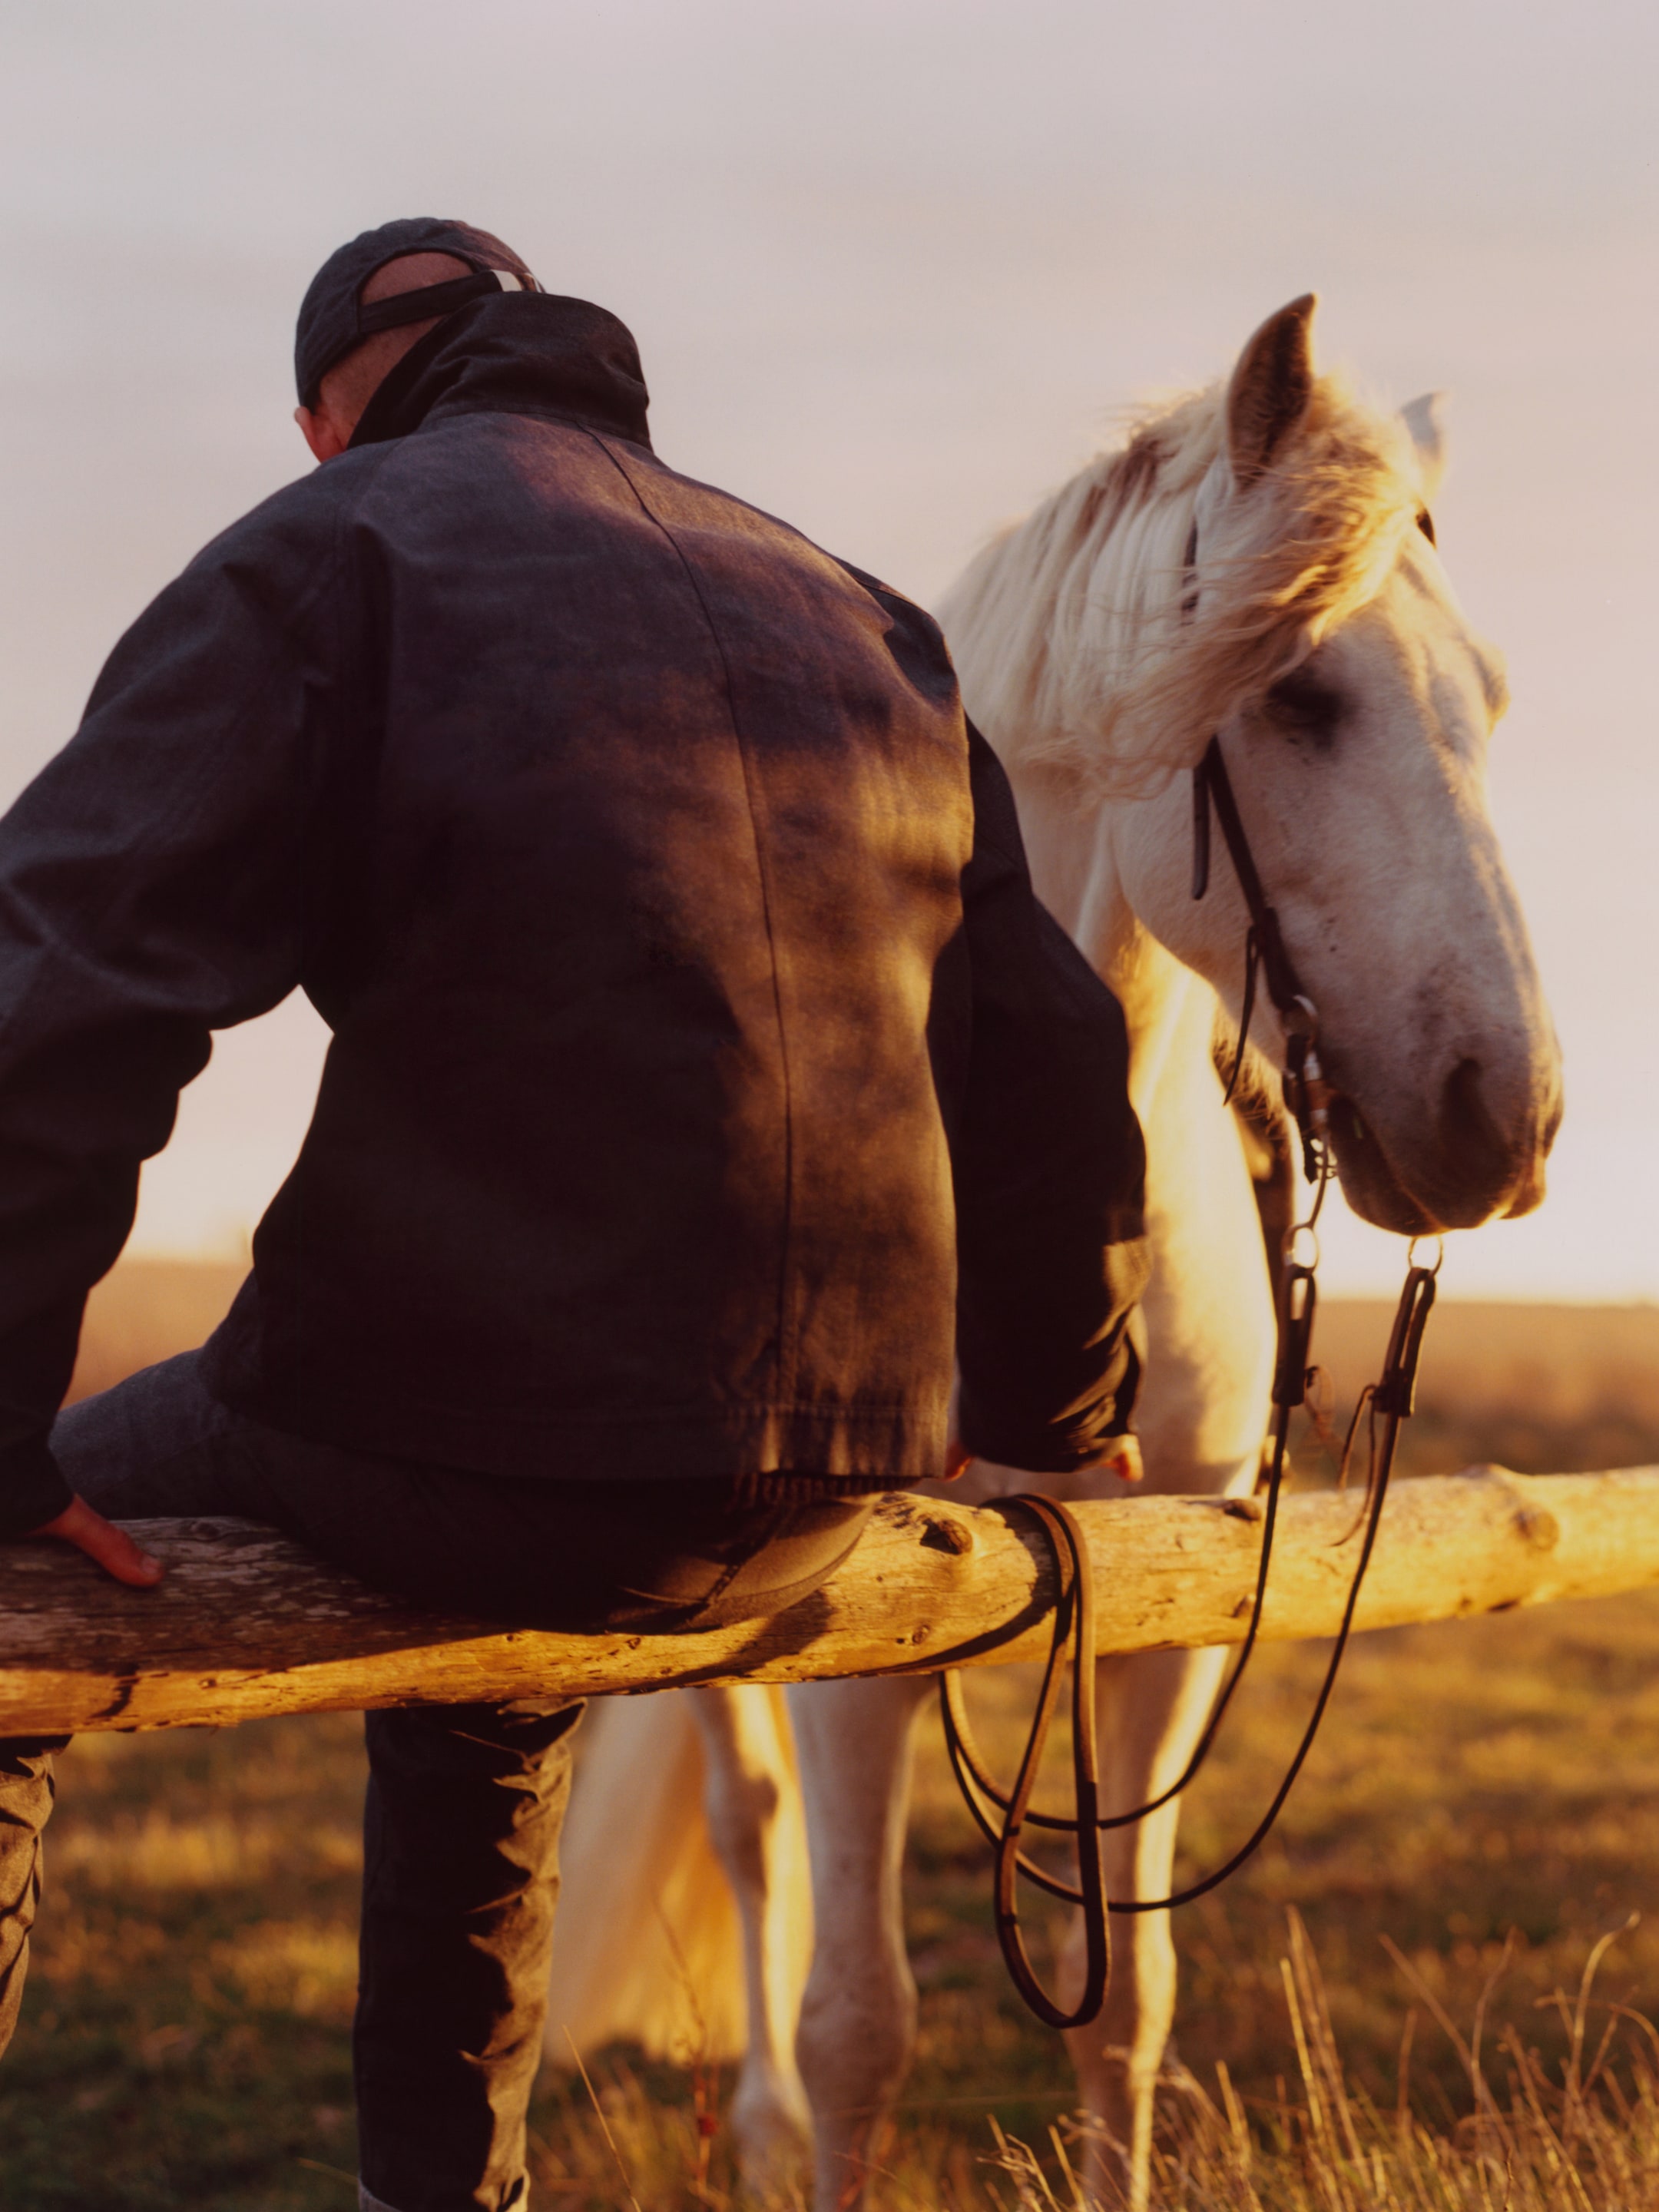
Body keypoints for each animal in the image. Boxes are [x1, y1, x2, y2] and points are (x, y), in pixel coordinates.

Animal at [543, 294, 1563, 2210]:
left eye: (1489, 699)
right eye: (1301, 696)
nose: (1509, 1121)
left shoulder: (1166, 1635)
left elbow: (1125, 2002)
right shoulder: (861, 1655)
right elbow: (859, 2024)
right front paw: (812, 2113)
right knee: (748, 1826)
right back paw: (759, 2128)